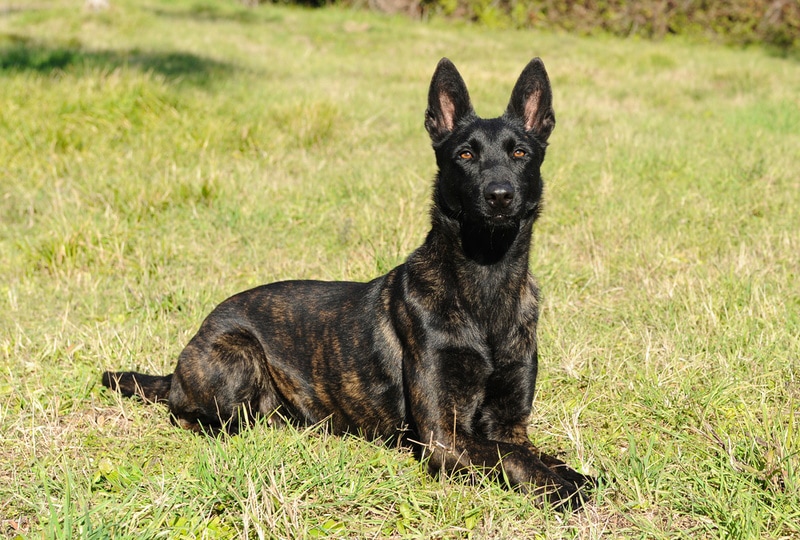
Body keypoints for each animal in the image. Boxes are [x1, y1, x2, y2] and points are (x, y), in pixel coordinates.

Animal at [103, 58, 592, 510]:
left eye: (521, 154)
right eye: (465, 155)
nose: (500, 196)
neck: (485, 281)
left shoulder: (509, 425)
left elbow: (536, 453)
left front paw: (577, 476)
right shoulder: (444, 436)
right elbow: (513, 458)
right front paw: (563, 489)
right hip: (237, 358)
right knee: (193, 417)